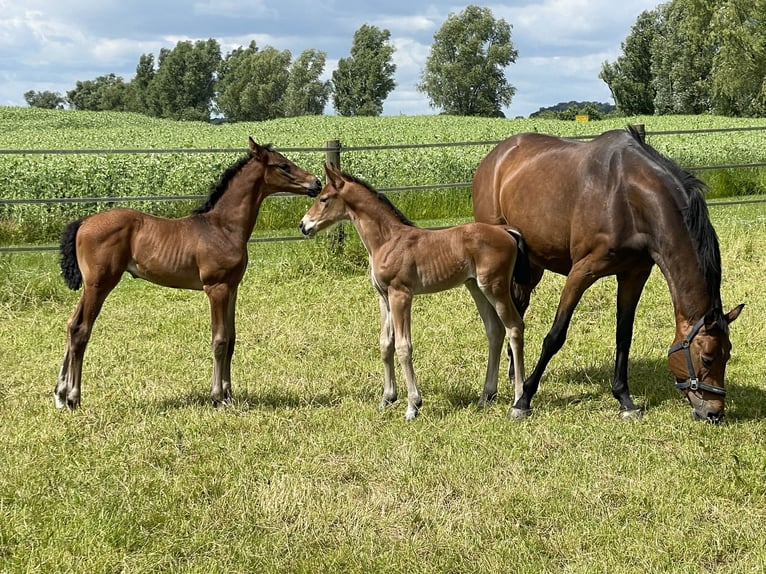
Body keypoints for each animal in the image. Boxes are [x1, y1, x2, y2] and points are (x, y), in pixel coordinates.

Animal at [56, 138, 320, 412]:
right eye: (283, 165)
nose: (317, 183)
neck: (223, 227)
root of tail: (83, 222)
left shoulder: (232, 287)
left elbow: (232, 339)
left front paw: (229, 395)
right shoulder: (216, 288)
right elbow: (219, 340)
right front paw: (217, 397)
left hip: (91, 286)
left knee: (71, 324)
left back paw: (61, 395)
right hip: (99, 284)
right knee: (81, 330)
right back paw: (74, 397)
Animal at [296, 164, 524, 420]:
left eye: (324, 199)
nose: (303, 225)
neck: (387, 240)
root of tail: (506, 231)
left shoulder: (401, 294)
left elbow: (403, 346)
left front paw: (412, 405)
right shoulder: (383, 297)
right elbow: (385, 344)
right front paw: (387, 398)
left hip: (495, 286)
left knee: (514, 327)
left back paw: (519, 401)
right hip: (476, 287)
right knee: (495, 331)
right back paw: (486, 396)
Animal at [474, 127, 744, 424]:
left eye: (728, 355)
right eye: (707, 358)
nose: (714, 413)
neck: (627, 196)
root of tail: (495, 157)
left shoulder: (634, 274)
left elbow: (623, 336)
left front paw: (624, 399)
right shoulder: (581, 272)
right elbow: (556, 335)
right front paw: (524, 400)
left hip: (532, 265)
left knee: (517, 312)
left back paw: (514, 374)